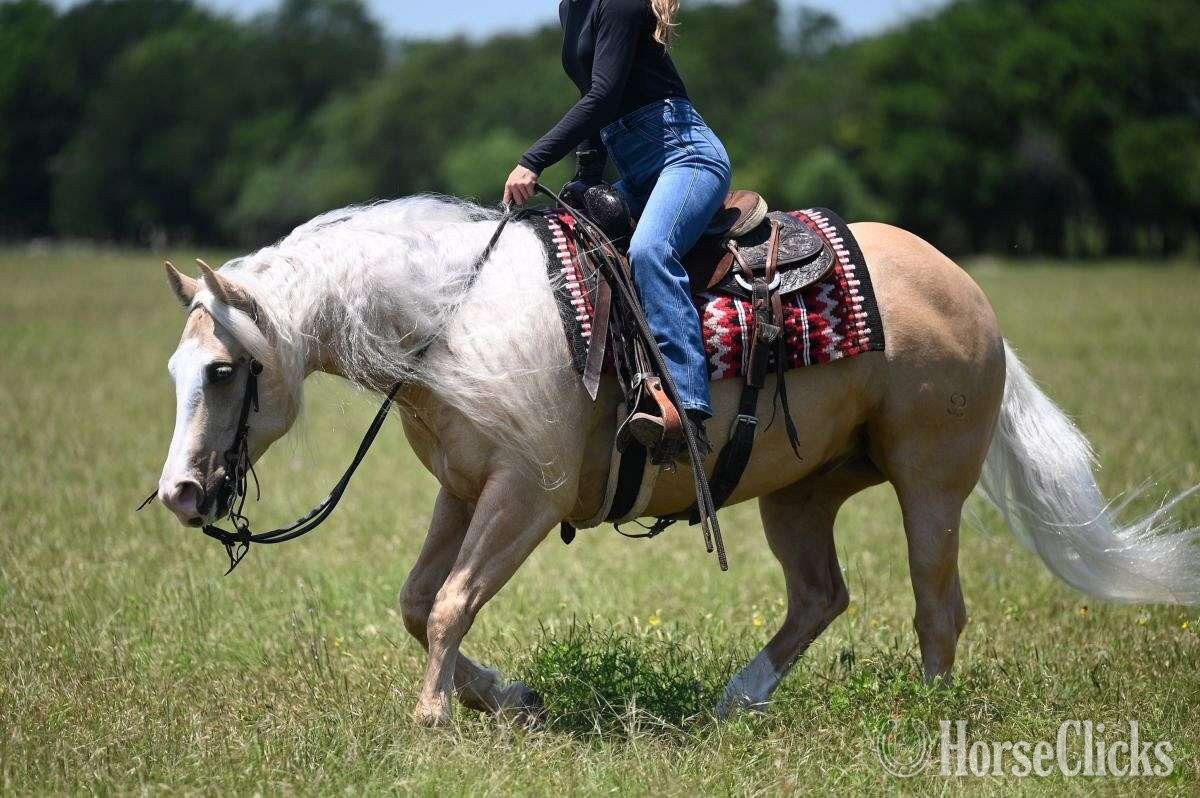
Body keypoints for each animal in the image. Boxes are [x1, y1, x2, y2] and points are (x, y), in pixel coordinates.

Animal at [153, 195, 1200, 727]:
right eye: (174, 368)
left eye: (222, 369)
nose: (180, 494)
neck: (453, 318)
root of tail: (972, 295)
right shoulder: (465, 487)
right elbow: (419, 604)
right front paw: (508, 699)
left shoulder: (524, 497)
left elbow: (449, 602)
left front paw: (436, 721)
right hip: (800, 494)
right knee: (820, 596)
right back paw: (736, 702)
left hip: (931, 481)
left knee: (937, 608)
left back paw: (926, 721)